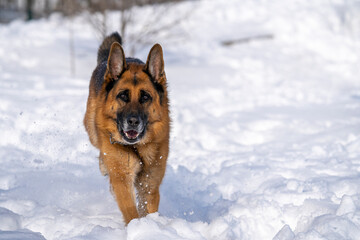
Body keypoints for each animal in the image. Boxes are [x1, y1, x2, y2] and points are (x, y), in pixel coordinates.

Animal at [83, 32, 169, 224]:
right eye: (123, 96)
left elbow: (147, 208)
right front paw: (137, 227)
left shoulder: (150, 184)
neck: (138, 148)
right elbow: (131, 212)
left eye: (145, 97)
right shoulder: (122, 178)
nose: (133, 122)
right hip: (91, 129)